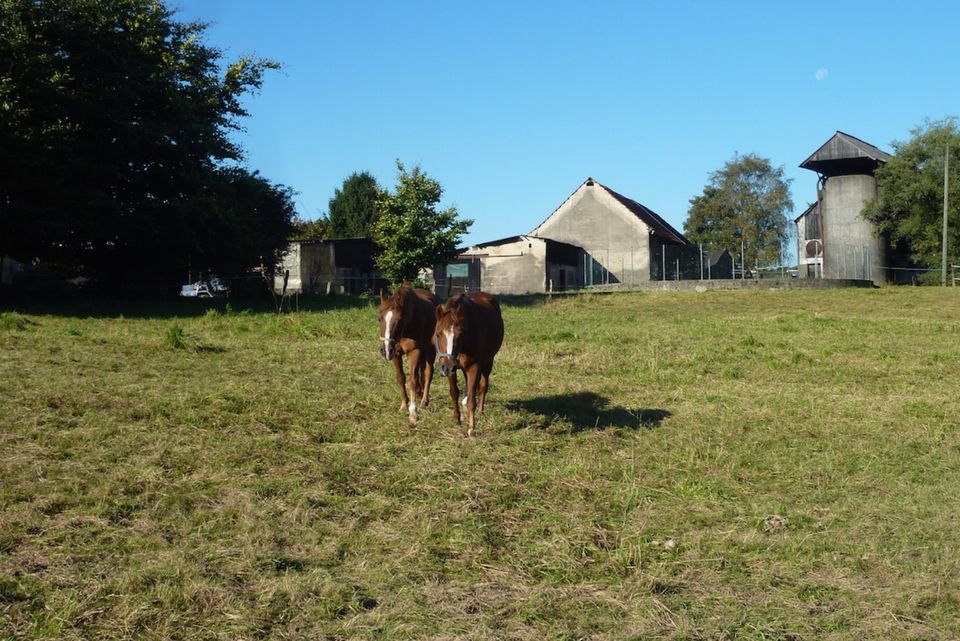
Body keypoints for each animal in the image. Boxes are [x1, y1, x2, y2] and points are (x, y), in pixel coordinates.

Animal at [376, 284, 436, 424]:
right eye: (379, 318)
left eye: (399, 320)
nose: (385, 350)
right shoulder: (395, 354)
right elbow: (401, 378)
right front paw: (404, 405)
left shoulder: (414, 352)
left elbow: (412, 381)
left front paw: (413, 413)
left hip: (430, 350)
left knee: (428, 374)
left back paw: (424, 402)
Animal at [432, 292, 498, 436]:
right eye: (438, 334)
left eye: (460, 334)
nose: (447, 367)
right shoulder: (452, 369)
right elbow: (454, 392)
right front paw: (457, 419)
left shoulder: (474, 366)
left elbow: (472, 399)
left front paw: (471, 428)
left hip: (488, 362)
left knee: (483, 386)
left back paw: (480, 412)